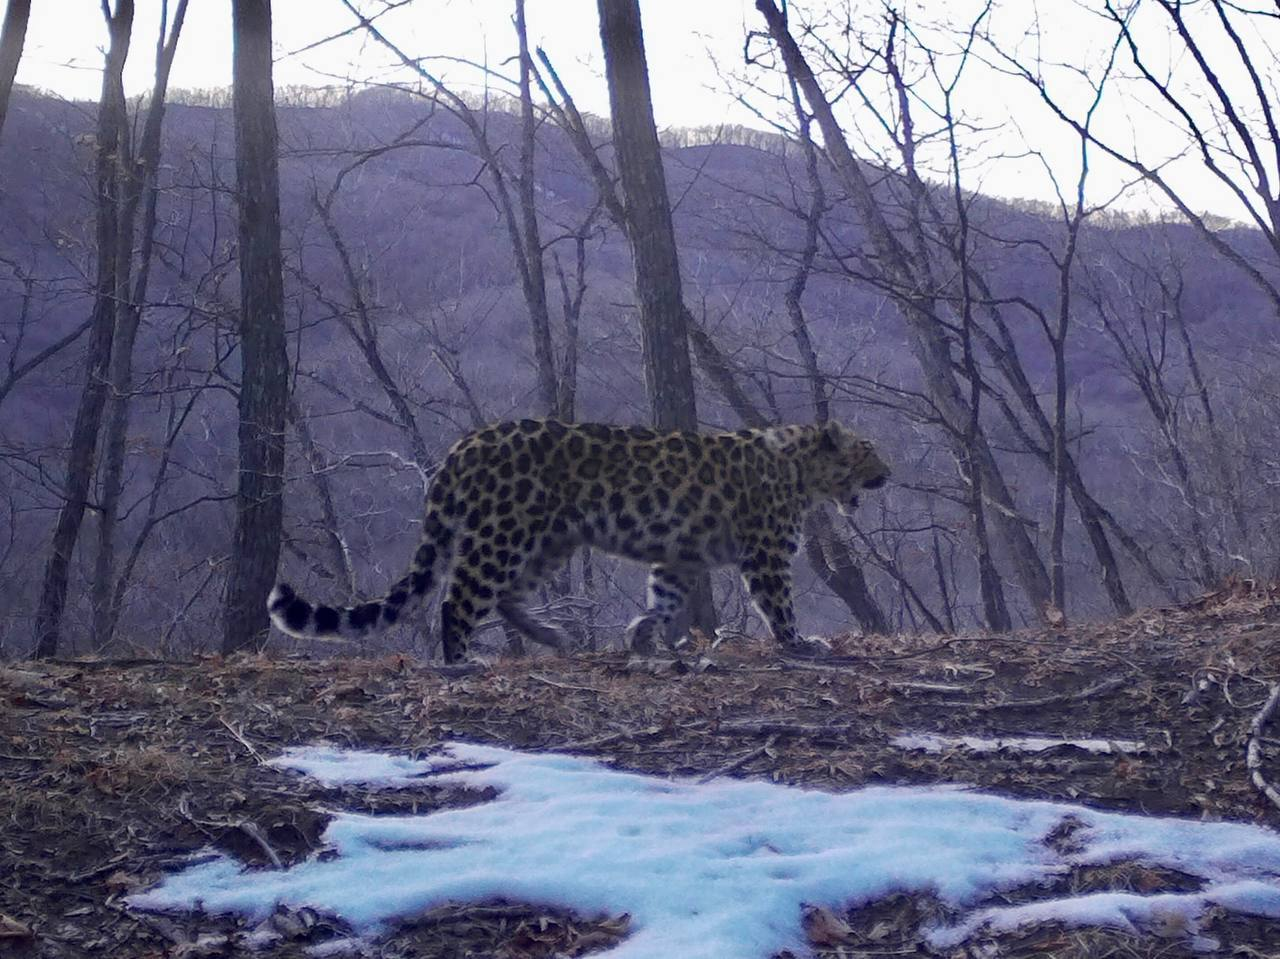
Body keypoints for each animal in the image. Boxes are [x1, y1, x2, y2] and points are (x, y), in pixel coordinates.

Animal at [267, 414, 890, 660]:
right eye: (868, 450)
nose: (889, 473)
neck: (802, 471)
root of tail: (464, 445)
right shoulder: (766, 555)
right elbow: (778, 605)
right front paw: (800, 643)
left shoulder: (679, 558)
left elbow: (664, 600)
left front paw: (641, 636)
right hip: (504, 532)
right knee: (458, 599)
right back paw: (462, 662)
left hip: (548, 541)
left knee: (506, 596)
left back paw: (552, 636)